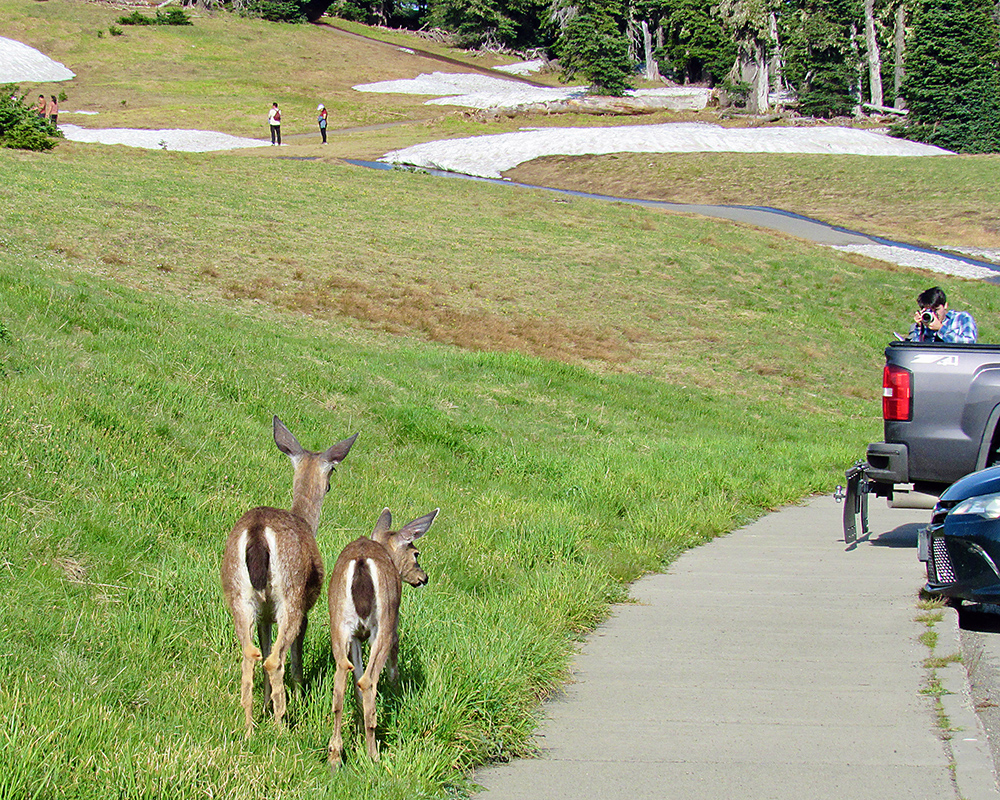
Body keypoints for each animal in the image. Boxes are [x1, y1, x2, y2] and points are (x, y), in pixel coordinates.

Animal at [221, 418, 358, 736]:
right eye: (332, 469)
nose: (330, 485)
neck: (306, 520)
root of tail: (257, 532)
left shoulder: (264, 614)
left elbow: (264, 643)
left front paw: (266, 703)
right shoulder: (305, 607)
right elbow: (297, 657)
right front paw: (296, 698)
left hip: (238, 592)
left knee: (251, 653)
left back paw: (249, 727)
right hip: (291, 593)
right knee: (274, 660)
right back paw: (280, 725)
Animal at [328, 510, 438, 764]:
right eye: (416, 553)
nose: (424, 577)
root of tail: (360, 563)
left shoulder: (356, 636)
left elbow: (356, 682)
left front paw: (359, 727)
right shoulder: (393, 623)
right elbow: (392, 668)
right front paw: (397, 695)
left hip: (339, 623)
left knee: (341, 680)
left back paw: (335, 755)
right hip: (384, 622)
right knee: (368, 680)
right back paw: (373, 755)